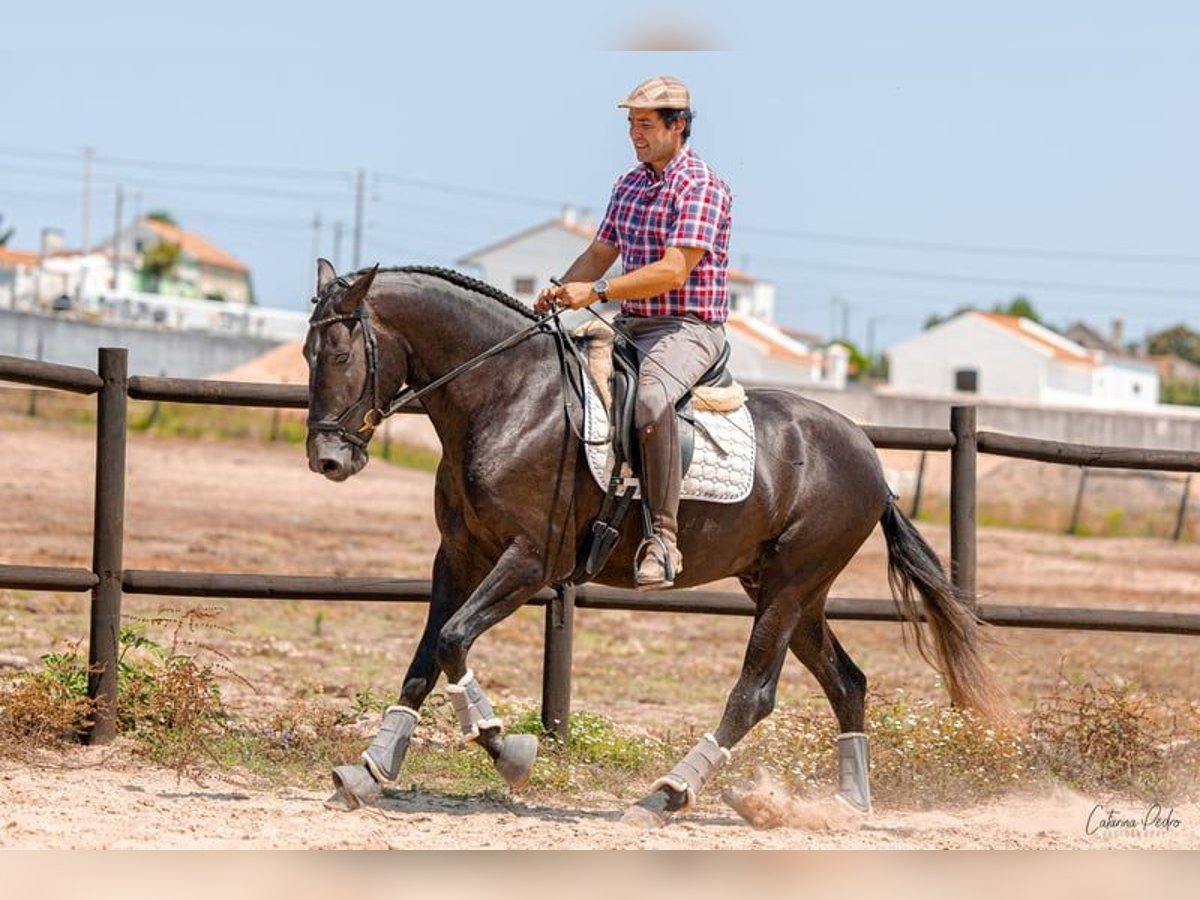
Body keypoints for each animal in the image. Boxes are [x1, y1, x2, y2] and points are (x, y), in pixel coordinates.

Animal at [302, 259, 1003, 825]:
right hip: (790, 592)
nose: (327, 460)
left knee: (754, 694)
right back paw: (846, 806)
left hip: (790, 587)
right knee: (848, 683)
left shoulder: (531, 560)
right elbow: (425, 659)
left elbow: (452, 641)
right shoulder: (458, 556)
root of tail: (870, 460)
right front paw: (369, 770)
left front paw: (511, 751)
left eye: (338, 355)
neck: (508, 397)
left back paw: (664, 796)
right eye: (307, 354)